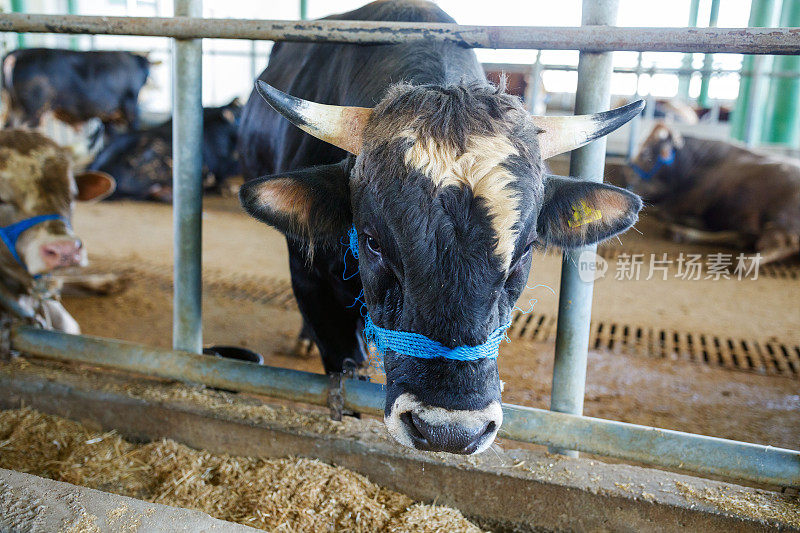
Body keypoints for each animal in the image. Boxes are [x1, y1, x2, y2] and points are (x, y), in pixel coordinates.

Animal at [624, 125, 800, 266]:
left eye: (645, 153)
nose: (628, 175)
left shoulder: (690, 199)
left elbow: (660, 211)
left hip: (781, 219)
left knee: (779, 244)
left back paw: (745, 262)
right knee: (741, 237)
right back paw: (682, 232)